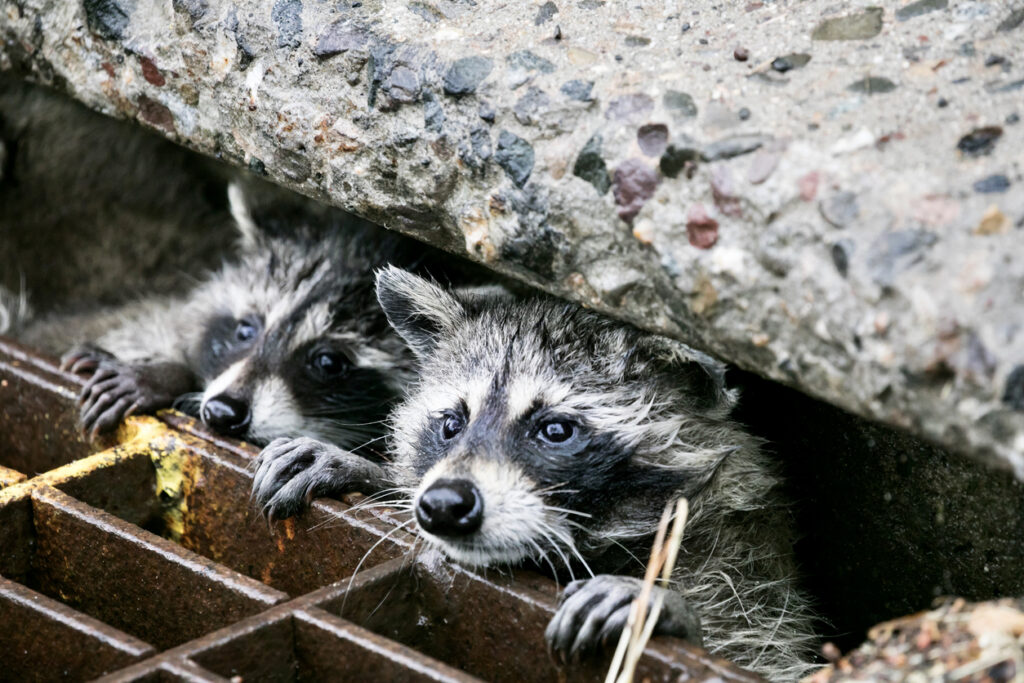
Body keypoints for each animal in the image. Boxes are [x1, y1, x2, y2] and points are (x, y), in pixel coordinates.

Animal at [252, 267, 818, 681]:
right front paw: (367, 471)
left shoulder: (742, 568)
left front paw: (671, 613)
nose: (443, 505)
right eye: (452, 423)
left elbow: (770, 657)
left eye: (555, 430)